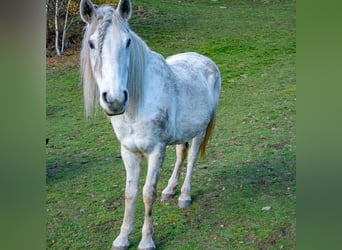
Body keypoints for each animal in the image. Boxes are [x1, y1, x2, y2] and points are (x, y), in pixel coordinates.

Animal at [79, 0, 220, 248]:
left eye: (127, 42)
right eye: (91, 44)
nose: (115, 100)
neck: (137, 106)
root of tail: (207, 61)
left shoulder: (155, 150)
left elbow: (147, 193)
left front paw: (146, 240)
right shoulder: (128, 151)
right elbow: (130, 193)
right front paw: (122, 238)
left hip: (199, 131)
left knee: (191, 158)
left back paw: (184, 196)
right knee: (181, 155)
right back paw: (170, 190)